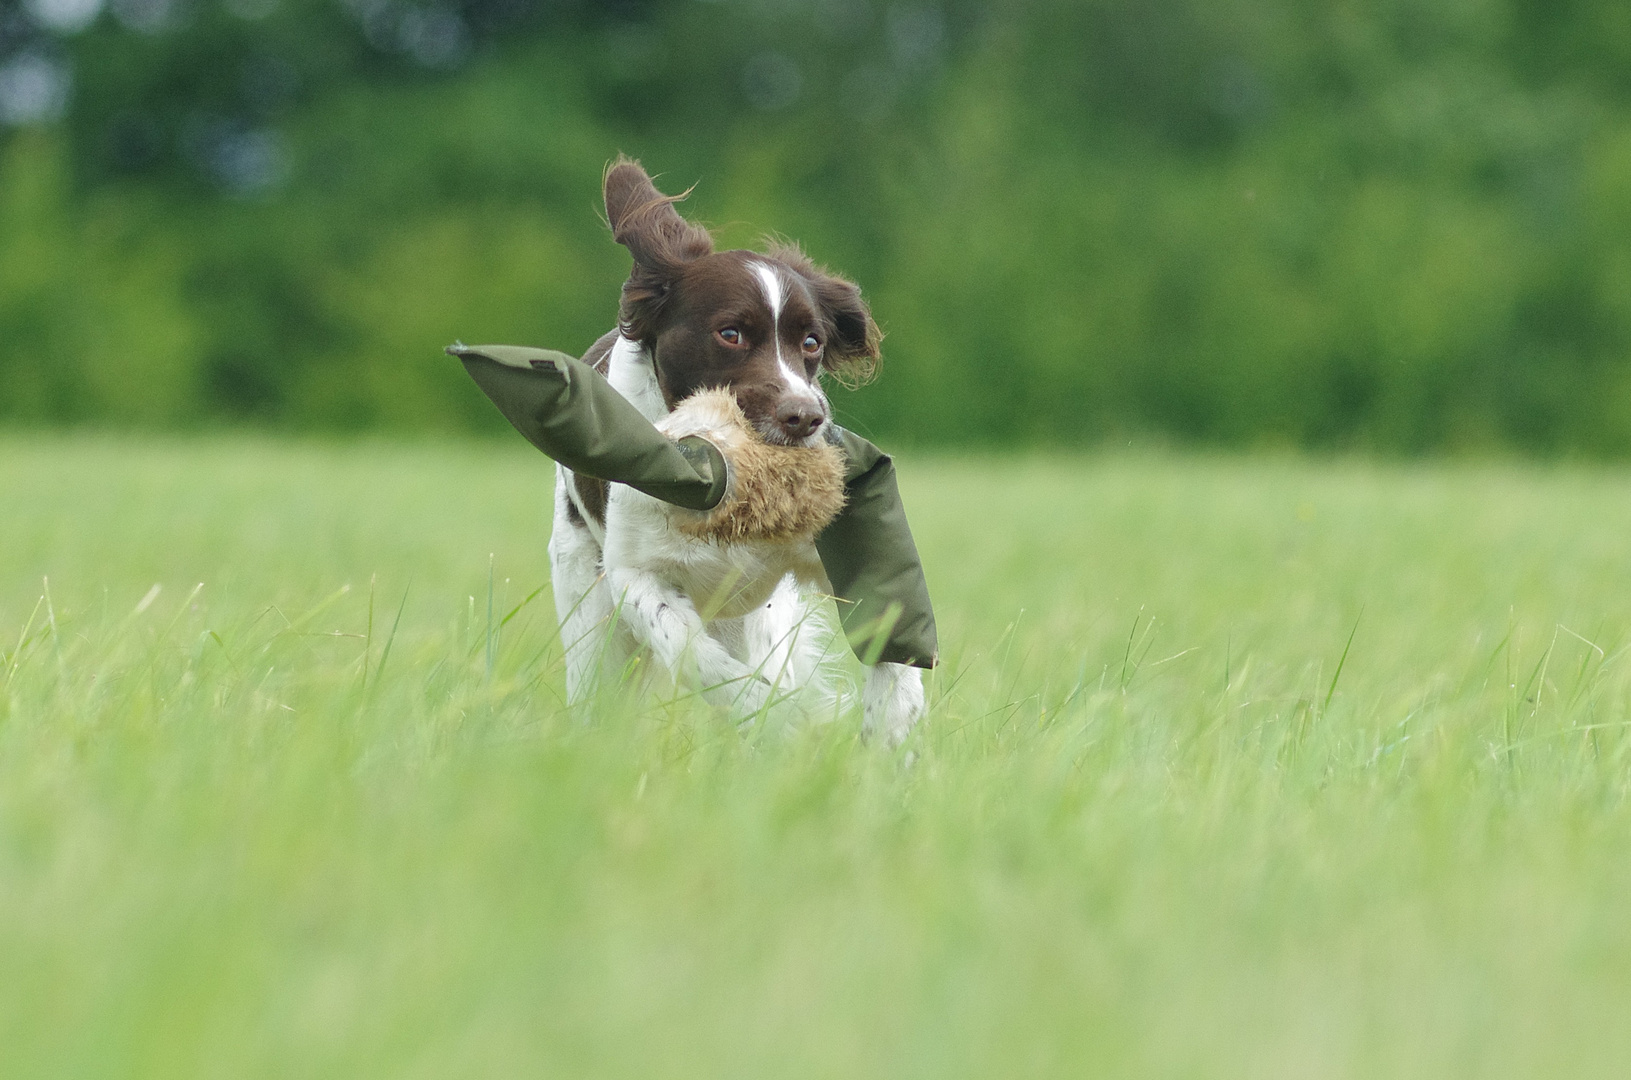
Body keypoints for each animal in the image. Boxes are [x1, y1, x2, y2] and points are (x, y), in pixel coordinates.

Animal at [551, 160, 926, 740]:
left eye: (812, 342)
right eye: (730, 334)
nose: (806, 418)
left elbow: (889, 627)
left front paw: (889, 727)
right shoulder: (635, 576)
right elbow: (699, 659)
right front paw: (780, 721)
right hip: (586, 604)